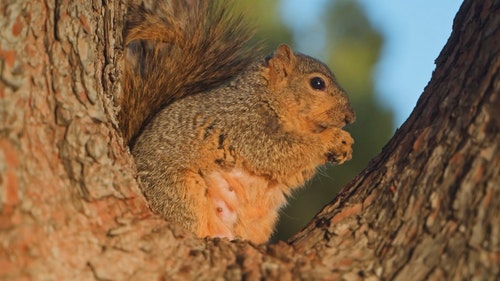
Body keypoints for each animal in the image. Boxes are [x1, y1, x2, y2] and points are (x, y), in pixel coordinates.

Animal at [119, 0, 356, 242]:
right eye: (317, 83)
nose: (351, 116)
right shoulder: (244, 122)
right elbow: (277, 151)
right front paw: (334, 138)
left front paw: (344, 148)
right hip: (180, 193)